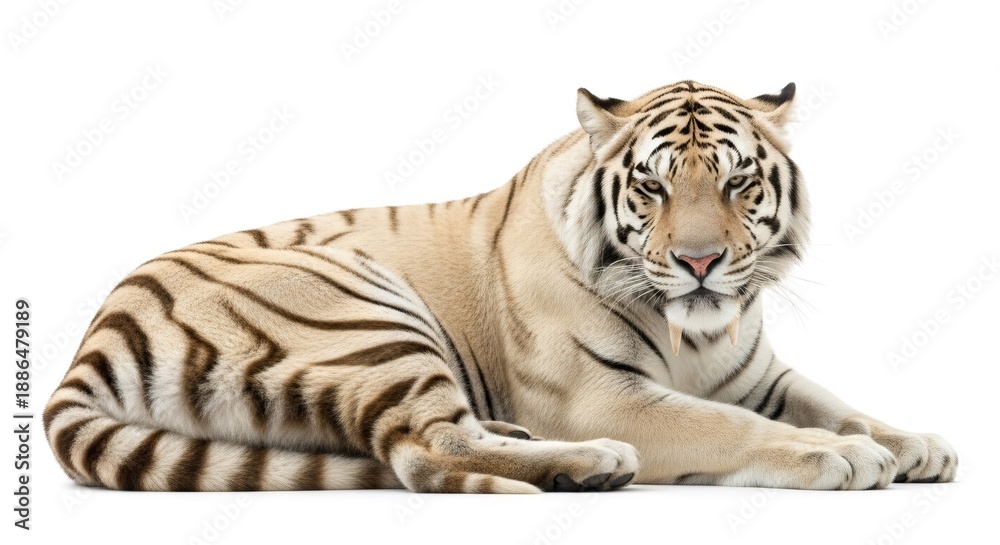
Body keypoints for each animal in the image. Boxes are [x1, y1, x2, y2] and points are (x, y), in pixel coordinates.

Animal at [44, 80, 958, 493]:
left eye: (736, 183)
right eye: (653, 187)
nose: (700, 262)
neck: (697, 330)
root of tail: (96, 332)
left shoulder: (761, 373)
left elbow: (836, 399)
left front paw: (914, 441)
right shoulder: (601, 394)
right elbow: (726, 425)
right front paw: (842, 455)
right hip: (364, 305)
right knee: (423, 450)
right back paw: (591, 464)